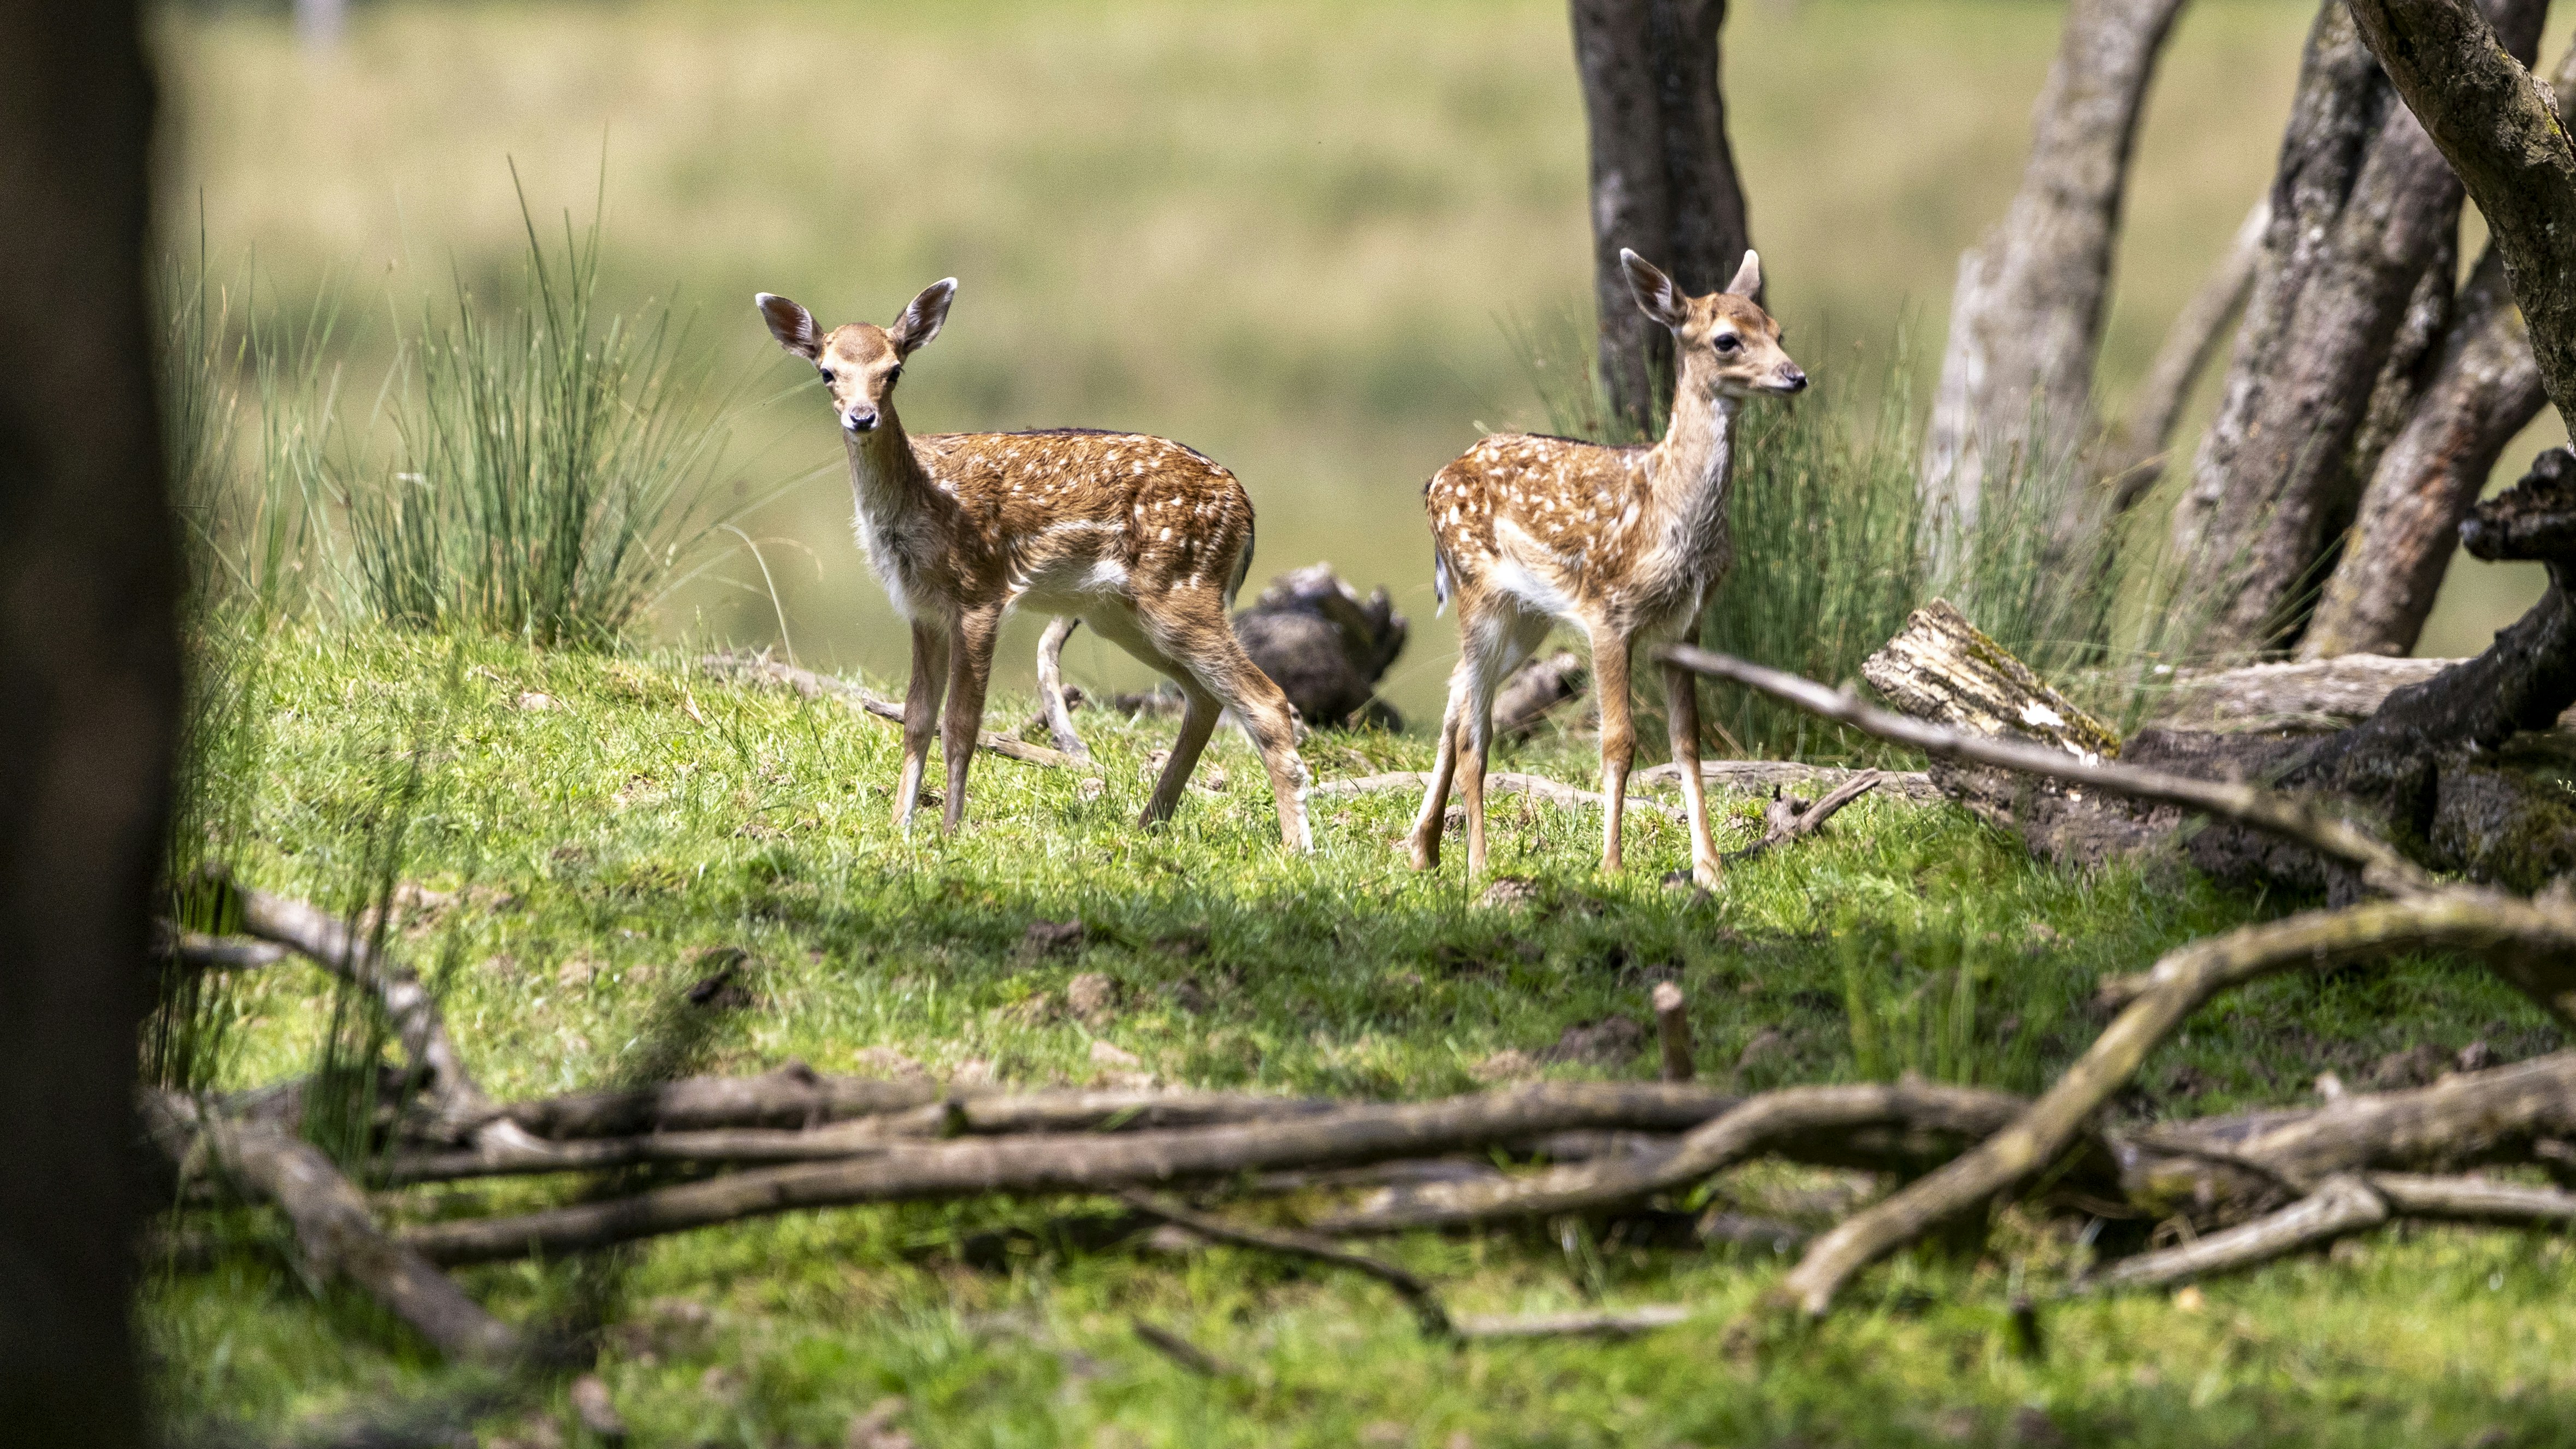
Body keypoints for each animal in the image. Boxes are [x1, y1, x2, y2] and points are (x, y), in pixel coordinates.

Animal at [755, 280, 1312, 850]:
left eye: (894, 370)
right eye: (827, 372)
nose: (863, 417)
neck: (924, 497)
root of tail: (1247, 511)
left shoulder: (981, 591)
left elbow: (961, 722)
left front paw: (951, 831)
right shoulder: (921, 608)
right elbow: (916, 718)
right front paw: (899, 826)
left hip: (1184, 588)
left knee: (1266, 698)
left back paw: (1296, 847)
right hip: (1122, 615)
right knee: (1205, 697)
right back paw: (1148, 823)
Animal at [1409, 249, 1805, 888]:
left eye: (1776, 331)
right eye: (1726, 340)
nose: (1796, 377)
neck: (1669, 513)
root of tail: (1437, 480)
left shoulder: (1684, 625)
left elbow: (1687, 742)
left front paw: (1710, 869)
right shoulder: (1608, 613)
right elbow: (1619, 741)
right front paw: (1613, 866)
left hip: (1527, 616)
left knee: (1454, 701)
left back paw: (1423, 849)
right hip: (1478, 591)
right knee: (1475, 729)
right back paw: (1478, 865)